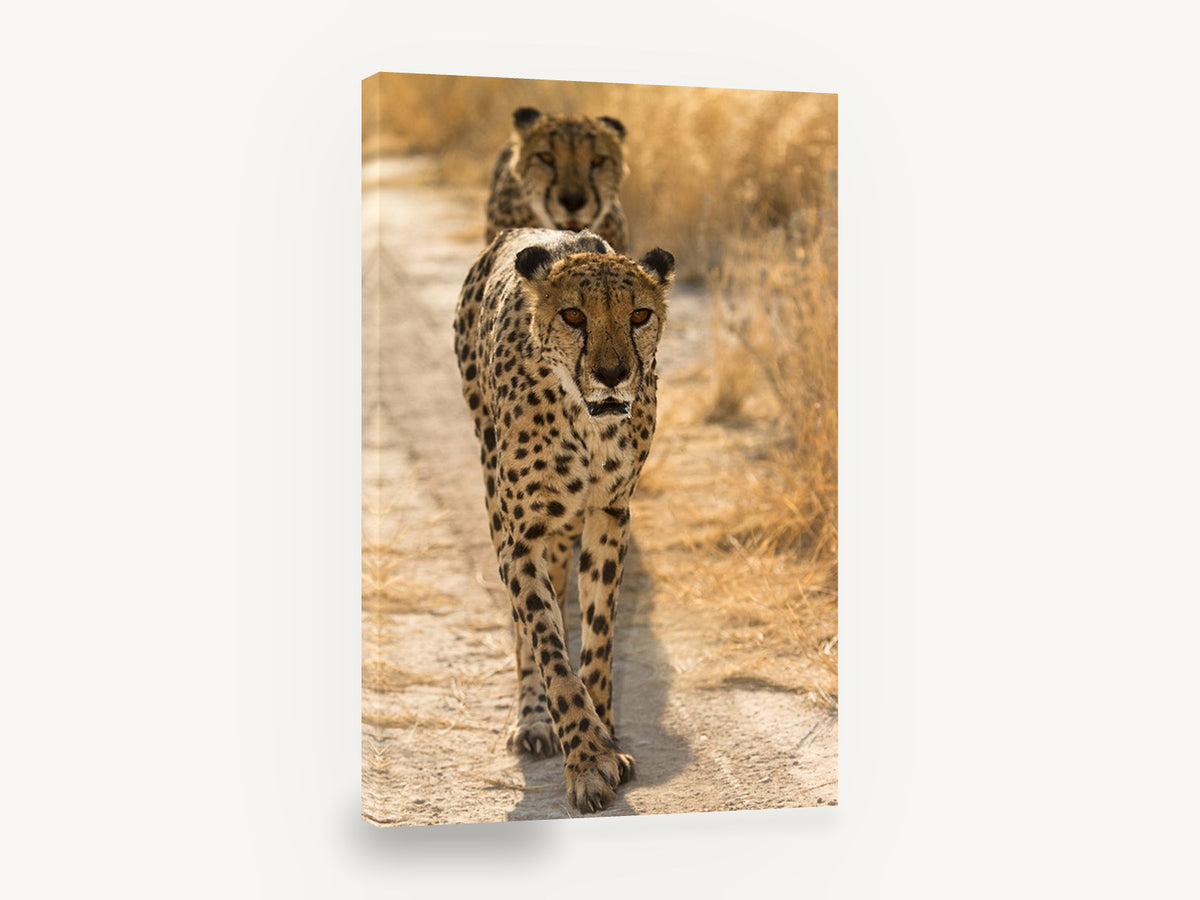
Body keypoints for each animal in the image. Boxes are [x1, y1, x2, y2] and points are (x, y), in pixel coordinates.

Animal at [453, 227, 674, 813]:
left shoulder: (609, 514)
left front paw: (607, 739)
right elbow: (549, 646)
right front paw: (587, 759)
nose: (613, 373)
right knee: (524, 630)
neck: (587, 422)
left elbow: (597, 638)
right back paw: (533, 720)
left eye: (640, 315)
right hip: (494, 494)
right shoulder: (521, 538)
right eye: (573, 315)